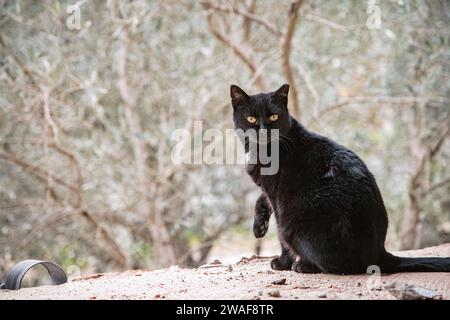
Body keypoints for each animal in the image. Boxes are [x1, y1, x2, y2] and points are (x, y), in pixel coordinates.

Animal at [232, 84, 450, 274]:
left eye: (274, 116)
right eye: (251, 119)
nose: (263, 132)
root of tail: (379, 254)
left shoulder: (278, 199)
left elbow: (280, 236)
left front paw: (282, 263)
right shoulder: (268, 191)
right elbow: (261, 200)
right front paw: (259, 227)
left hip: (293, 224)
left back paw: (303, 266)